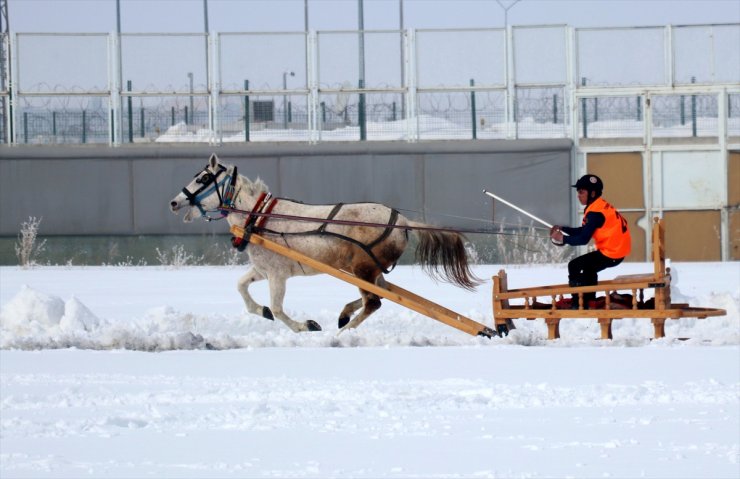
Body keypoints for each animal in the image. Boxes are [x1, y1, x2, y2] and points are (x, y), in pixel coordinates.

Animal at [168, 155, 480, 334]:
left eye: (203, 177)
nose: (174, 202)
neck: (259, 216)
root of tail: (402, 221)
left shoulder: (278, 274)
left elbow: (279, 309)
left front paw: (305, 326)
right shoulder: (263, 269)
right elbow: (242, 287)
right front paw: (261, 311)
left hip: (362, 268)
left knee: (374, 301)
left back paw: (343, 334)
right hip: (369, 269)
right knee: (379, 293)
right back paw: (344, 316)